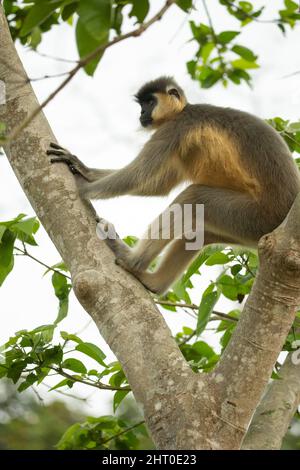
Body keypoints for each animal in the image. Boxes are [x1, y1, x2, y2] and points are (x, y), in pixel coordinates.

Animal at [46, 77, 300, 296]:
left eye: (149, 102)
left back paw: (132, 261)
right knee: (200, 230)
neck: (182, 111)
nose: (141, 113)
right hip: (247, 231)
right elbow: (158, 186)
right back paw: (154, 283)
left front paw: (83, 188)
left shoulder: (176, 128)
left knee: (193, 197)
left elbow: (138, 175)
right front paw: (81, 167)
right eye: (142, 104)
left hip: (255, 216)